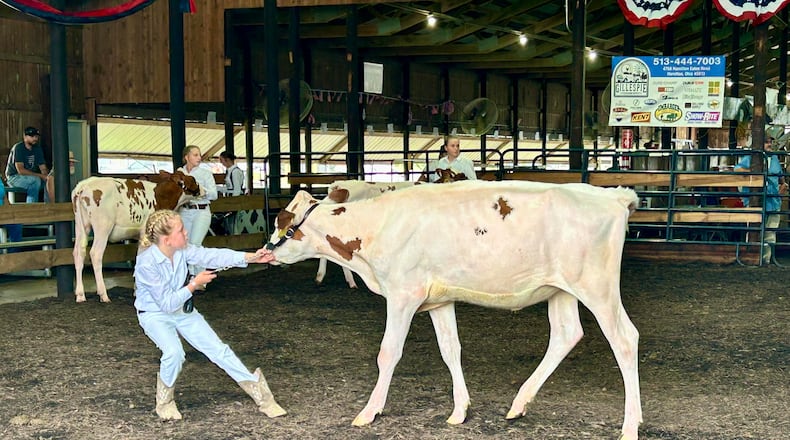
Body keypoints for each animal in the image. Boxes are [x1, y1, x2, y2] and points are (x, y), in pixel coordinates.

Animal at [71, 172, 203, 303]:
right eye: (193, 179)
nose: (203, 190)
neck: (160, 196)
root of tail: (84, 185)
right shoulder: (146, 236)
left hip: (81, 226)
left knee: (78, 253)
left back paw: (80, 295)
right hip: (103, 227)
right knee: (95, 254)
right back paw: (103, 295)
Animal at [265, 180, 642, 440]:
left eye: (283, 225)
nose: (265, 251)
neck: (378, 226)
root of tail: (612, 196)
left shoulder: (403, 294)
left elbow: (388, 353)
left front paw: (369, 411)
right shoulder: (439, 299)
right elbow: (450, 350)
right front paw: (460, 410)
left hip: (597, 288)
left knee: (625, 340)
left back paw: (630, 426)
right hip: (561, 290)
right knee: (566, 334)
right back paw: (519, 404)